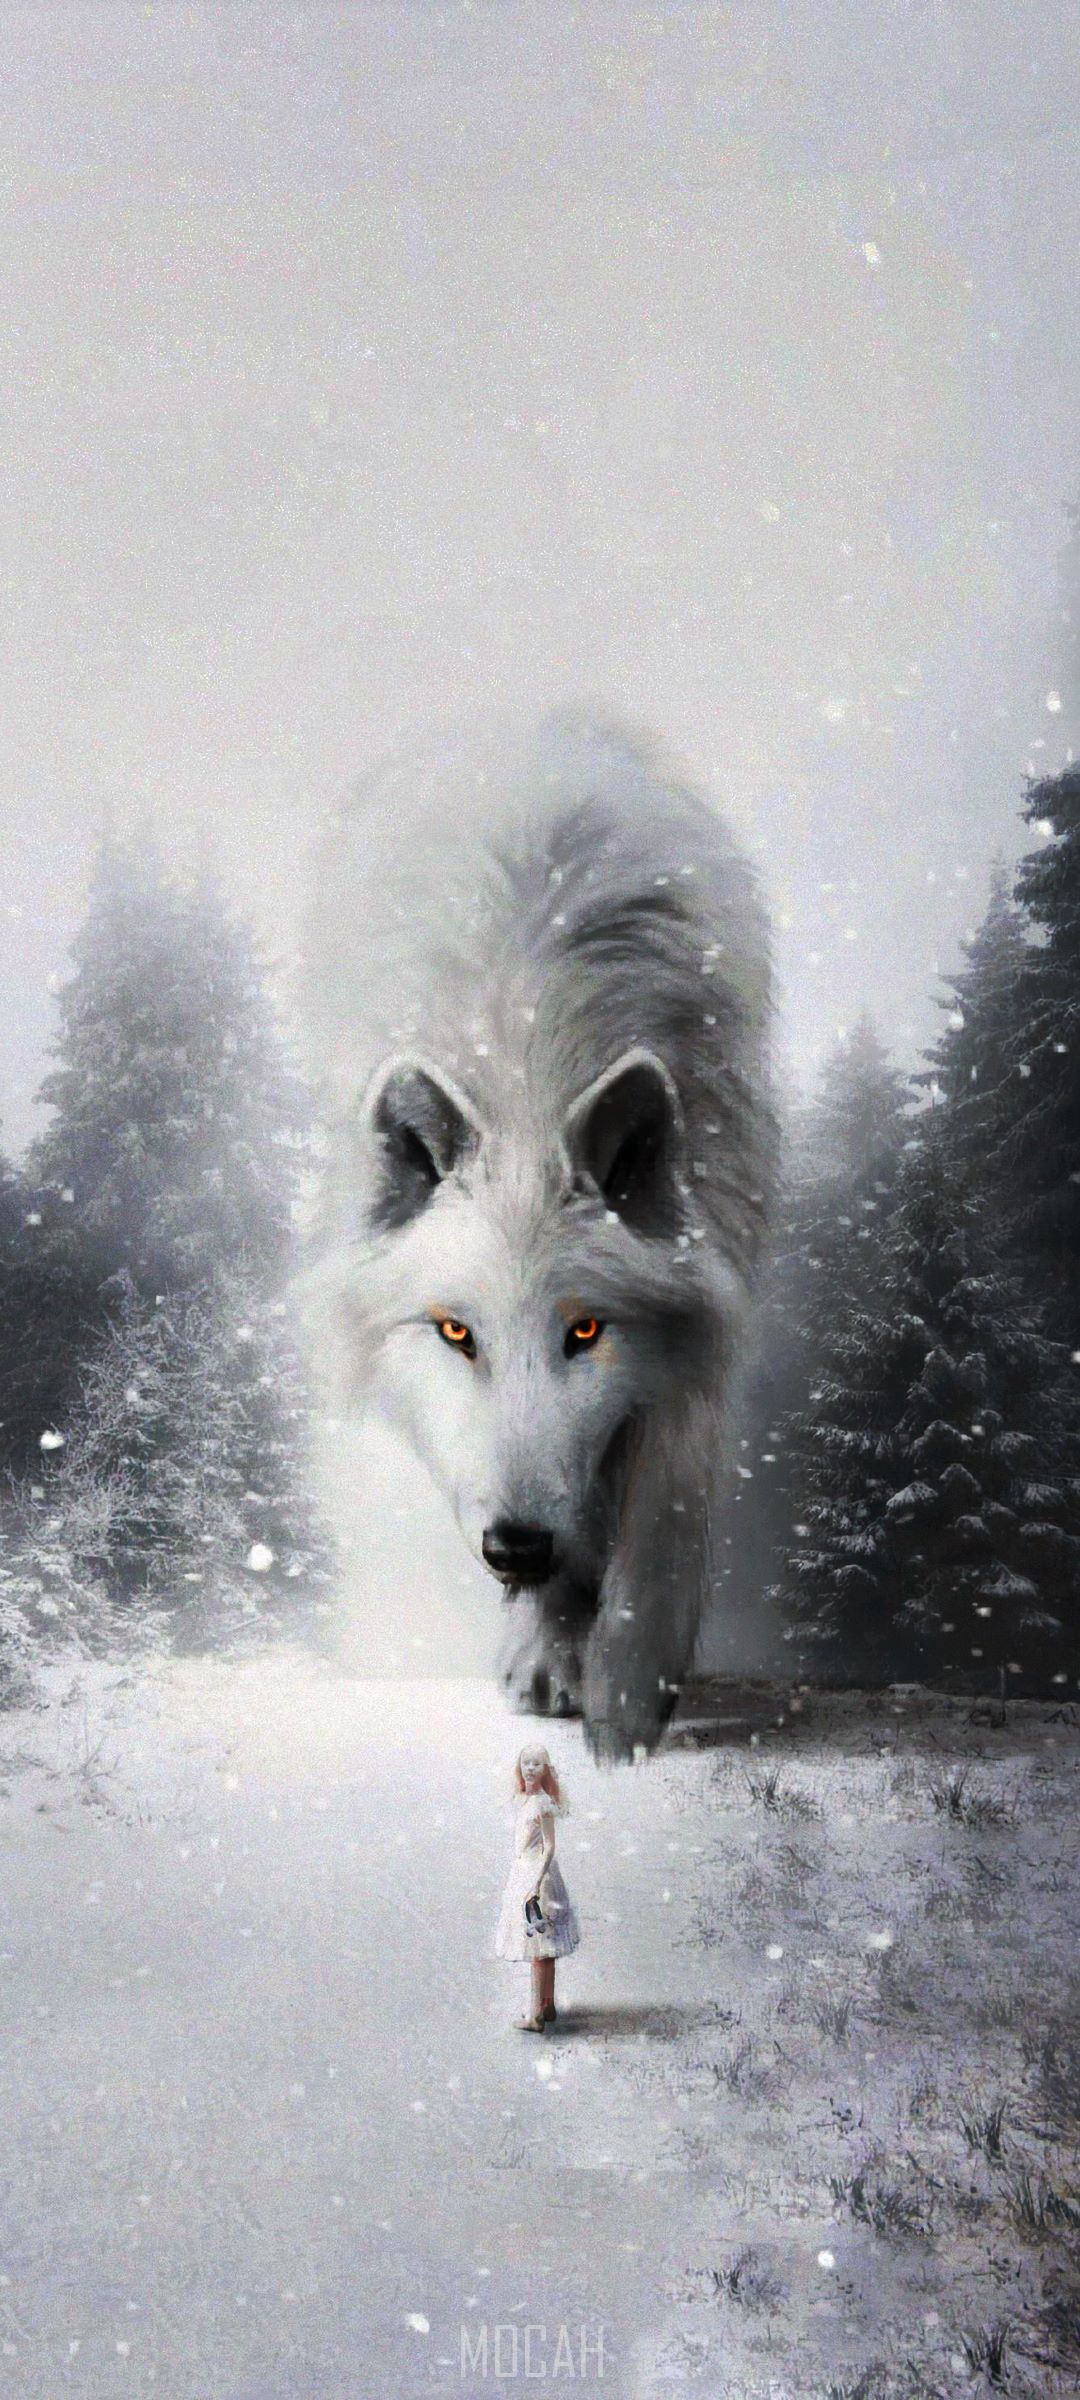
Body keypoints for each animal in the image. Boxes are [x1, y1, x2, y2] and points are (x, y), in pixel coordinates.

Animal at [298, 707, 779, 1764]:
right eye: (455, 1332)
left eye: (585, 1330)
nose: (512, 1547)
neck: (527, 1067)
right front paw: (555, 1651)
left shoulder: (703, 1306)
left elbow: (663, 1512)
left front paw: (628, 1704)